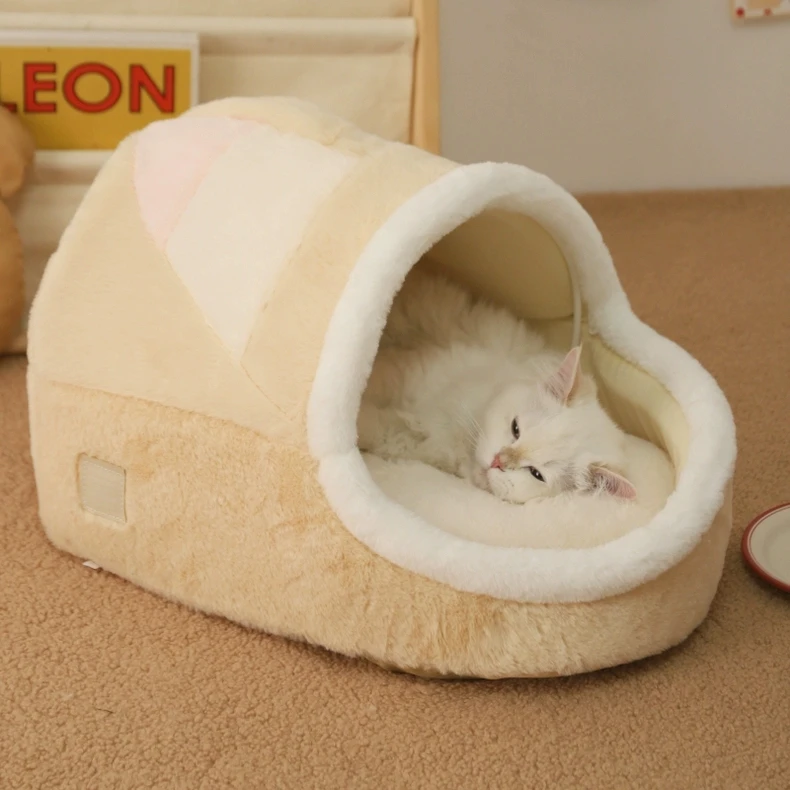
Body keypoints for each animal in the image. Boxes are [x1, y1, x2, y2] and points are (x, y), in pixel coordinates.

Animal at [357, 269, 636, 504]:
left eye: (535, 473)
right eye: (515, 429)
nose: (498, 461)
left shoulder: (405, 438)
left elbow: (374, 426)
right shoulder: (403, 374)